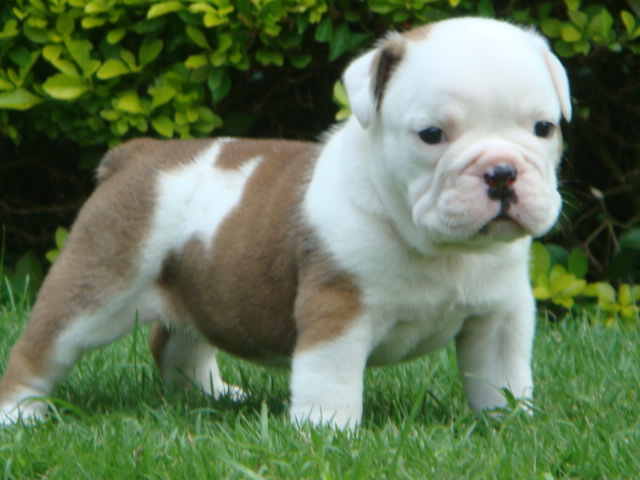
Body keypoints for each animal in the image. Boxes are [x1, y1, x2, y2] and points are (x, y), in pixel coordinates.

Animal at [0, 17, 568, 428]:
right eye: (432, 134)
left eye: (544, 128)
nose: (501, 171)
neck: (439, 247)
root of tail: (136, 155)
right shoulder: (338, 312)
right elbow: (331, 378)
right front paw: (327, 431)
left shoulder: (500, 316)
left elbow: (501, 375)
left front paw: (510, 422)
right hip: (96, 287)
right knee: (42, 348)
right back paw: (21, 415)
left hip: (199, 286)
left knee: (177, 343)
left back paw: (215, 395)